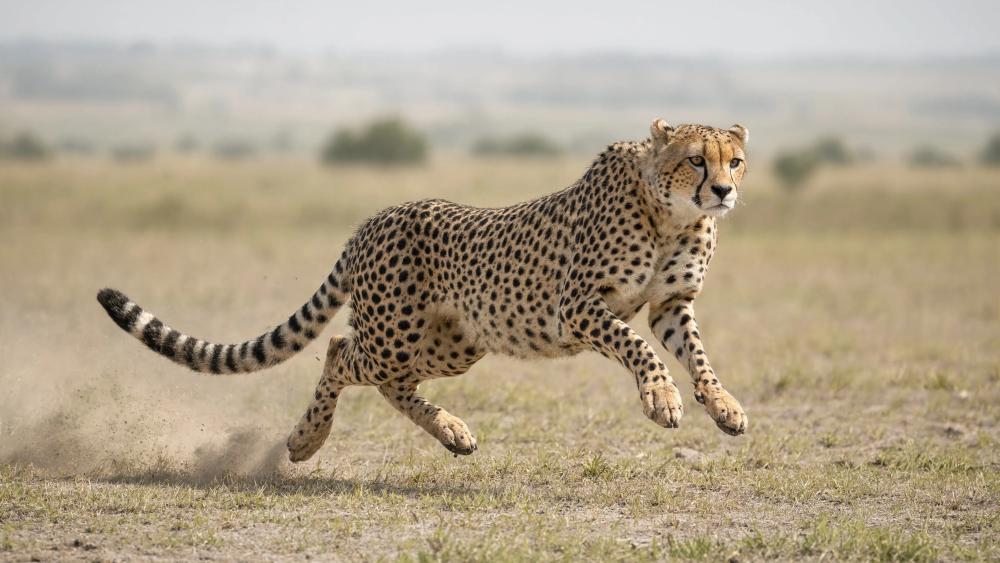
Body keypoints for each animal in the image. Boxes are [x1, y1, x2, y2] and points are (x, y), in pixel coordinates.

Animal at [97, 118, 750, 462]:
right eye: (696, 159)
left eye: (735, 160)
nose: (723, 190)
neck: (670, 214)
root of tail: (377, 215)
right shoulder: (577, 307)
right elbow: (638, 347)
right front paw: (661, 398)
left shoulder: (670, 305)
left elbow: (696, 354)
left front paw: (723, 406)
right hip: (394, 332)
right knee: (340, 353)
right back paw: (306, 438)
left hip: (454, 342)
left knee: (390, 381)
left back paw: (450, 430)